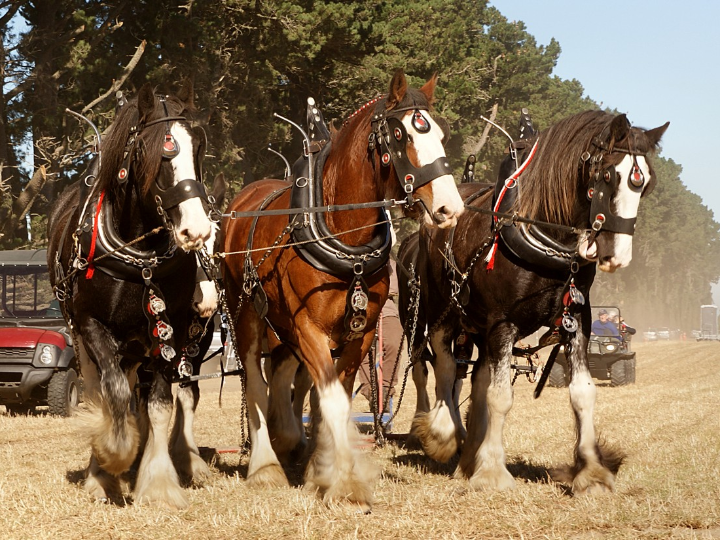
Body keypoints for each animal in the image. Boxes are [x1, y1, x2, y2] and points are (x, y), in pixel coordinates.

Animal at [48, 81, 217, 508]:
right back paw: (102, 468)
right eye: (155, 151)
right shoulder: (91, 324)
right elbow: (115, 395)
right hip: (87, 337)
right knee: (103, 389)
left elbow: (159, 404)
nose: (195, 230)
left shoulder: (170, 330)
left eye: (199, 146)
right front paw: (112, 457)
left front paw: (157, 482)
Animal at [221, 69, 464, 511]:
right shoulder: (309, 328)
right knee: (255, 380)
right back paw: (266, 464)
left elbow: (337, 397)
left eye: (441, 132)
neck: (340, 231)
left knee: (283, 373)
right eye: (400, 134)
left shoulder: (360, 334)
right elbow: (331, 399)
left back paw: (289, 440)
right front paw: (344, 481)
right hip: (247, 314)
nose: (448, 208)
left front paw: (321, 467)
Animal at [405, 109, 668, 495]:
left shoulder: (577, 319)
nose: (616, 255)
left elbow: (582, 393)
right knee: (443, 364)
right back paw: (443, 432)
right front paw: (493, 472)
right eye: (608, 175)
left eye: (645, 184)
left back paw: (468, 458)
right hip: (443, 309)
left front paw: (591, 471)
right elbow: (500, 397)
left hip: (479, 327)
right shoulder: (503, 322)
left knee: (478, 379)